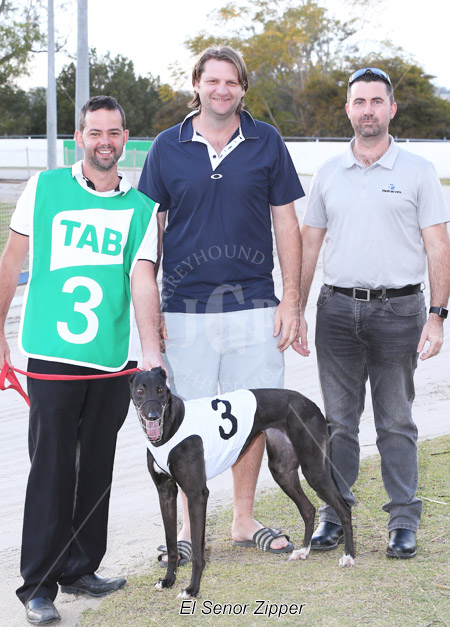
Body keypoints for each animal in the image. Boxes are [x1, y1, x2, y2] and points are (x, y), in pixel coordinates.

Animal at [130, 367, 354, 599]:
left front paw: (192, 589)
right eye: (140, 391)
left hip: (314, 470)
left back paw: (348, 556)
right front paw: (168, 581)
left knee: (344, 508)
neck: (171, 427)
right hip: (283, 472)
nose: (153, 416)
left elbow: (199, 553)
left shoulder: (196, 493)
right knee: (308, 509)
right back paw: (303, 551)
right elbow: (171, 544)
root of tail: (310, 403)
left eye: (160, 390)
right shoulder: (165, 492)